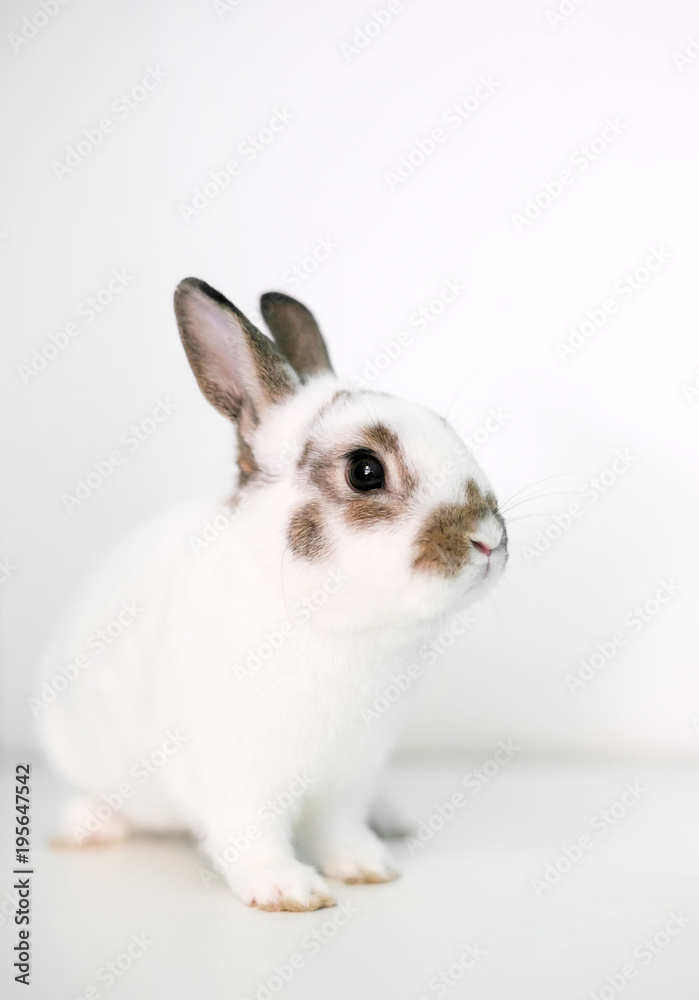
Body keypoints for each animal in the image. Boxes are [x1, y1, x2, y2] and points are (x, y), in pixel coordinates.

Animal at [37, 278, 508, 912]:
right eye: (365, 471)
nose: (489, 540)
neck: (337, 628)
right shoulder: (232, 779)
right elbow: (249, 836)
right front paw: (288, 891)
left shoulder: (349, 776)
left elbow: (341, 828)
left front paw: (367, 868)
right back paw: (87, 827)